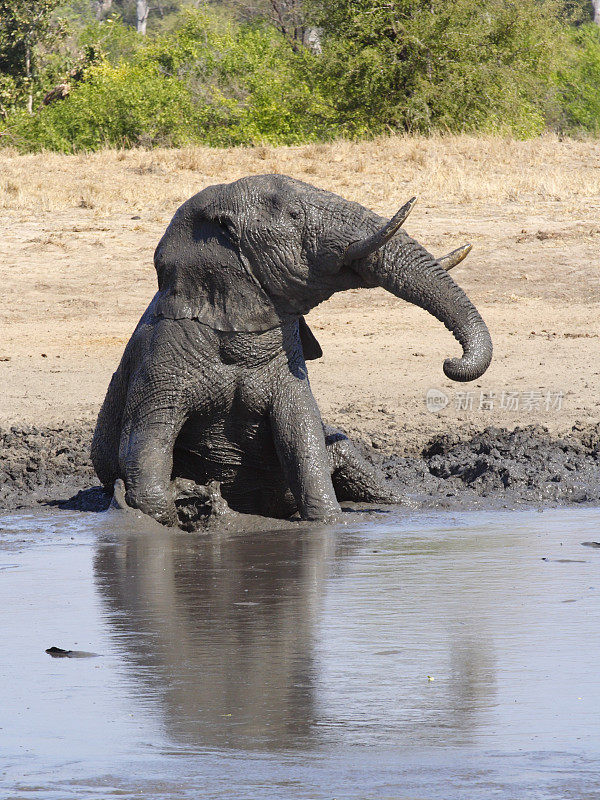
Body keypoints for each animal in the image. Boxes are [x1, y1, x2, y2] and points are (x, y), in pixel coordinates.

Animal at [90, 174, 492, 524]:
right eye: (296, 216)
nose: (450, 362)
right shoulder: (159, 358)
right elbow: (145, 454)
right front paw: (191, 503)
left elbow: (302, 436)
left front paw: (328, 522)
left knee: (350, 458)